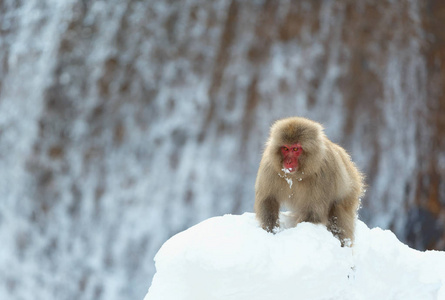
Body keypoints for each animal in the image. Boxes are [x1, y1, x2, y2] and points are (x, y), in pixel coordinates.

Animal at [253, 117, 364, 246]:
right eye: (285, 148)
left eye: (295, 149)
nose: (288, 161)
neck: (297, 175)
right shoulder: (270, 167)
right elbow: (268, 199)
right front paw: (271, 230)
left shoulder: (324, 173)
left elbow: (313, 212)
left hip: (349, 192)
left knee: (339, 216)